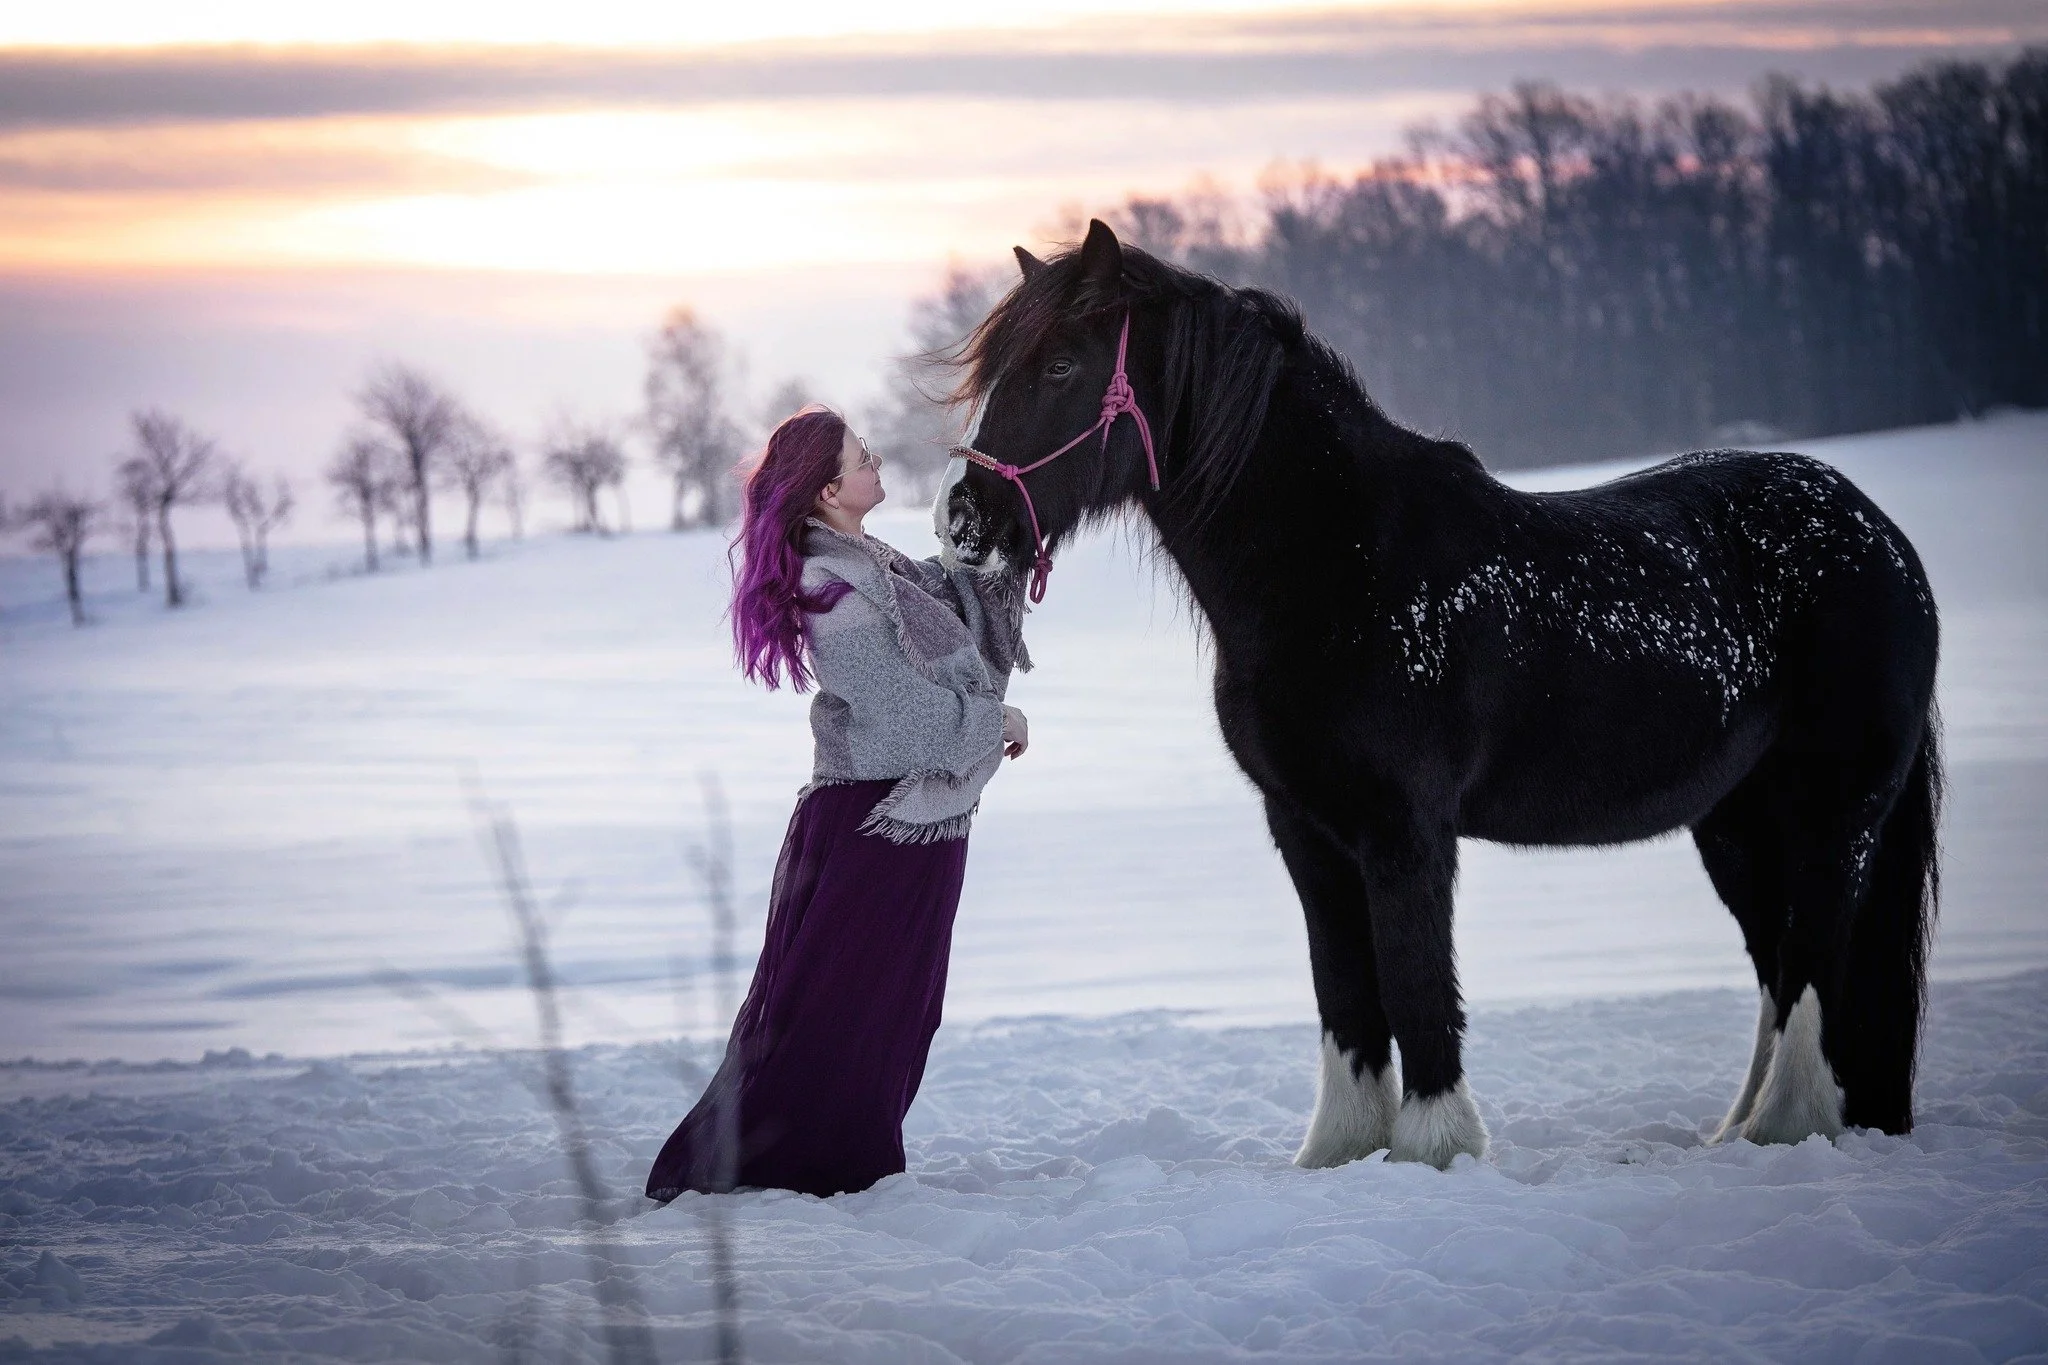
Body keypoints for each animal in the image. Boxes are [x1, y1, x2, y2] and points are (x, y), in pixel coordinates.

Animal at [936, 219, 1942, 1170]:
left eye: (1060, 364)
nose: (963, 518)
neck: (1342, 564)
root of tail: (1881, 535)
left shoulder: (1404, 828)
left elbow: (1417, 981)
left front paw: (1434, 1147)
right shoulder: (1305, 827)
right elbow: (1345, 989)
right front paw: (1341, 1149)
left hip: (1834, 812)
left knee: (1814, 960)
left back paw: (1786, 1127)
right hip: (1735, 823)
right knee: (1779, 962)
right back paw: (1738, 1132)